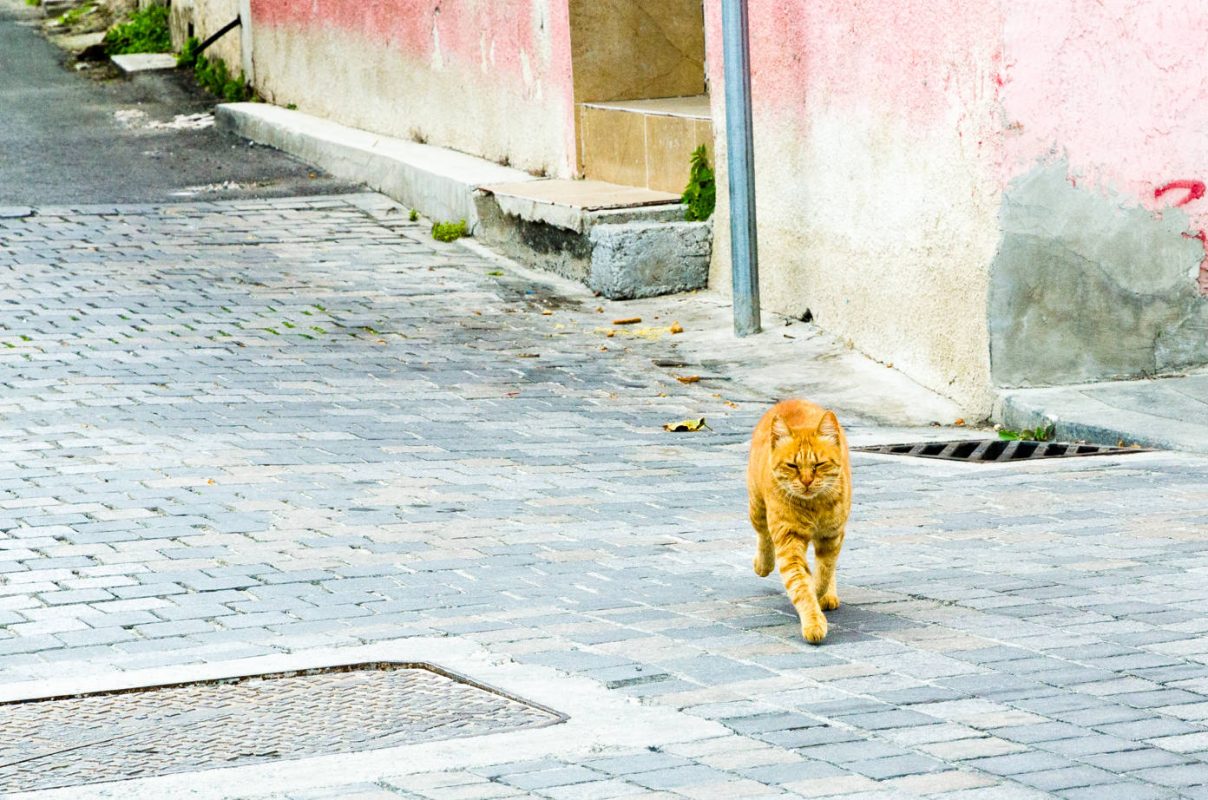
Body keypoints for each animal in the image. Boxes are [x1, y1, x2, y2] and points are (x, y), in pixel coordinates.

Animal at [744, 398, 850, 647]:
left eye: (819, 465)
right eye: (792, 466)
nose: (807, 481)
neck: (813, 507)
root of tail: (790, 400)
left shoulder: (832, 536)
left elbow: (824, 572)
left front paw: (820, 593)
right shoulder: (788, 541)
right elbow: (801, 584)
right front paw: (813, 620)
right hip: (757, 507)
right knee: (763, 536)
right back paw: (762, 564)